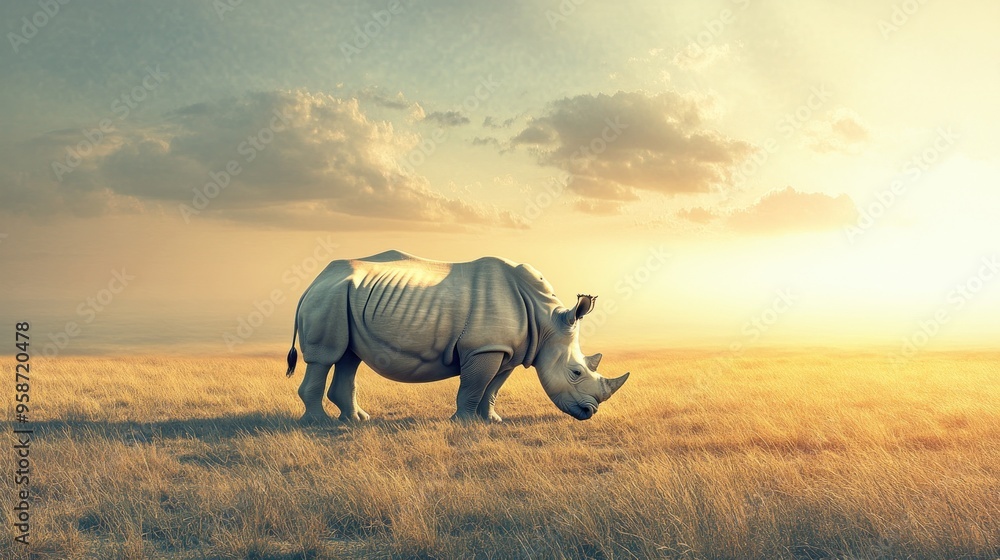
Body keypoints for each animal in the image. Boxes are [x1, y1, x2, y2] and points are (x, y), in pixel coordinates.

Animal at [285, 250, 629, 423]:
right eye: (576, 372)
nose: (590, 413)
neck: (546, 322)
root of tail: (314, 281)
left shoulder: (507, 351)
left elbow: (493, 388)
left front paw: (491, 421)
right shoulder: (483, 348)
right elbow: (474, 386)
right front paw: (463, 423)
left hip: (344, 298)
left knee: (349, 358)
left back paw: (357, 420)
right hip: (329, 297)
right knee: (325, 358)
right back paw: (319, 423)